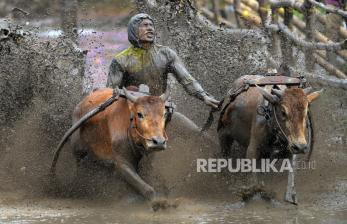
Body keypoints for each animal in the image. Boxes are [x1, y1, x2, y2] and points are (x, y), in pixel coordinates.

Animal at [219, 75, 322, 205]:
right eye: (283, 112)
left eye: (306, 112)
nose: (301, 147)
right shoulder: (253, 149)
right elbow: (253, 176)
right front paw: (252, 193)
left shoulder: (288, 150)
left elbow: (291, 173)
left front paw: (290, 195)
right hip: (223, 134)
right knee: (224, 156)